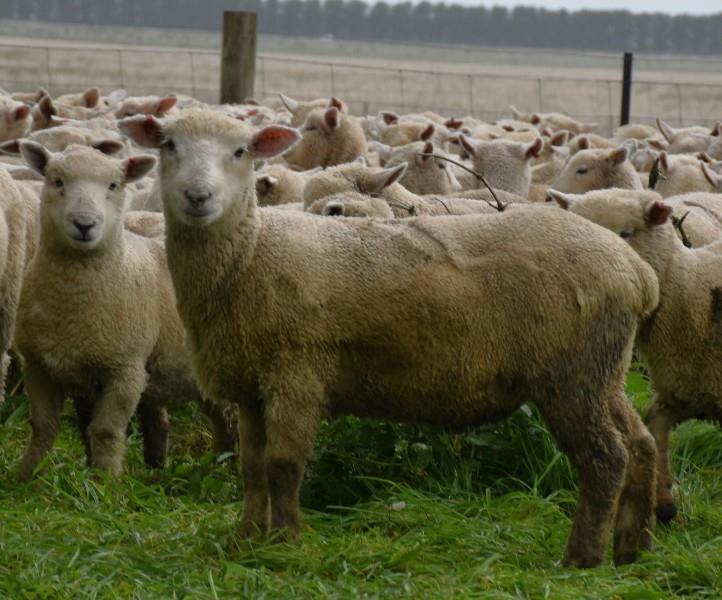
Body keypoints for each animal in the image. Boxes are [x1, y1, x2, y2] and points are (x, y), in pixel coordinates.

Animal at [14, 143, 235, 480]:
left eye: (114, 185)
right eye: (56, 181)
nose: (85, 224)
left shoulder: (125, 370)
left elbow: (105, 431)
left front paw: (106, 481)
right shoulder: (39, 367)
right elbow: (43, 427)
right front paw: (27, 476)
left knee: (231, 422)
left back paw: (225, 473)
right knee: (181, 421)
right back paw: (172, 471)